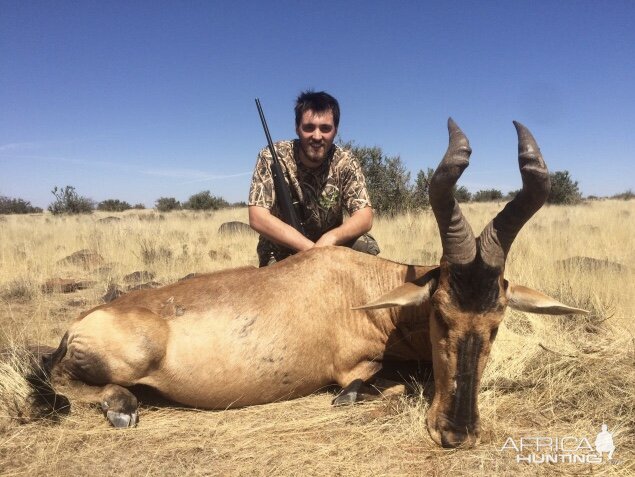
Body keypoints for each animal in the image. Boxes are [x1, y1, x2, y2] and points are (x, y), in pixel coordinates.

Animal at [31, 119, 588, 446]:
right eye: (439, 312)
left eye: (497, 321)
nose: (455, 433)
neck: (361, 288)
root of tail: (78, 324)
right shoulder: (353, 369)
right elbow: (370, 385)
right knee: (66, 382)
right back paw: (122, 410)